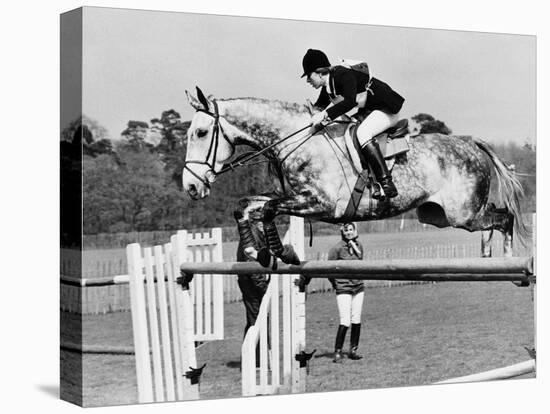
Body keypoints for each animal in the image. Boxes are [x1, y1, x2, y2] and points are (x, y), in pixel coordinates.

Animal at [182, 87, 532, 266]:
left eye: (200, 133)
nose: (191, 187)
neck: (297, 139)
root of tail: (469, 141)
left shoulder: (322, 204)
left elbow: (267, 209)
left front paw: (282, 252)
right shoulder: (291, 196)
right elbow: (246, 206)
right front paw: (257, 252)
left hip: (463, 213)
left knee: (504, 219)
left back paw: (509, 261)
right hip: (438, 215)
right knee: (494, 220)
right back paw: (489, 259)